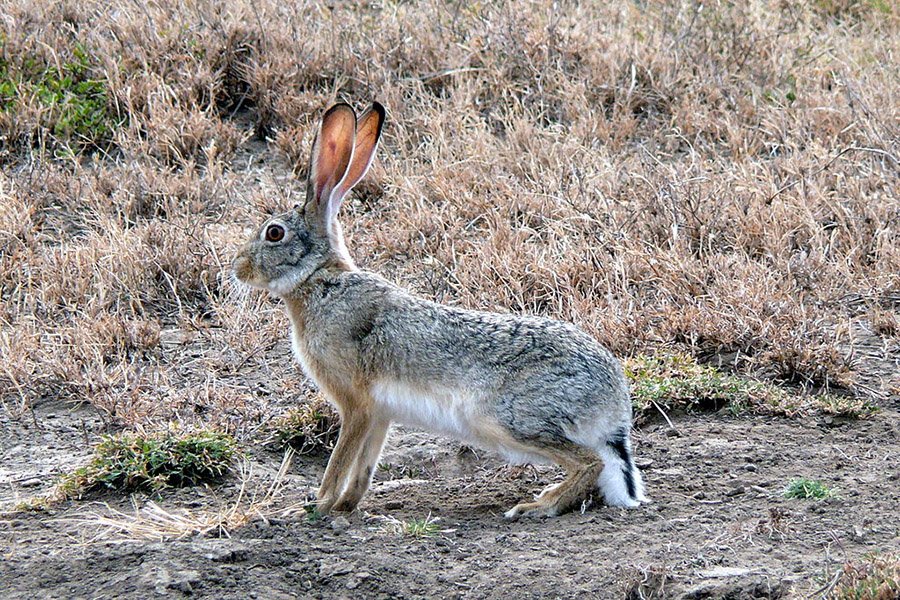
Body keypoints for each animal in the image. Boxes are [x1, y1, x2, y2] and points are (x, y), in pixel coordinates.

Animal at [232, 101, 648, 516]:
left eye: (274, 233)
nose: (238, 267)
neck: (320, 280)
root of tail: (615, 410)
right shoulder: (379, 413)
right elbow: (364, 468)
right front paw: (346, 507)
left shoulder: (356, 404)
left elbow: (340, 461)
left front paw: (317, 507)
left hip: (506, 418)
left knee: (589, 462)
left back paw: (537, 505)